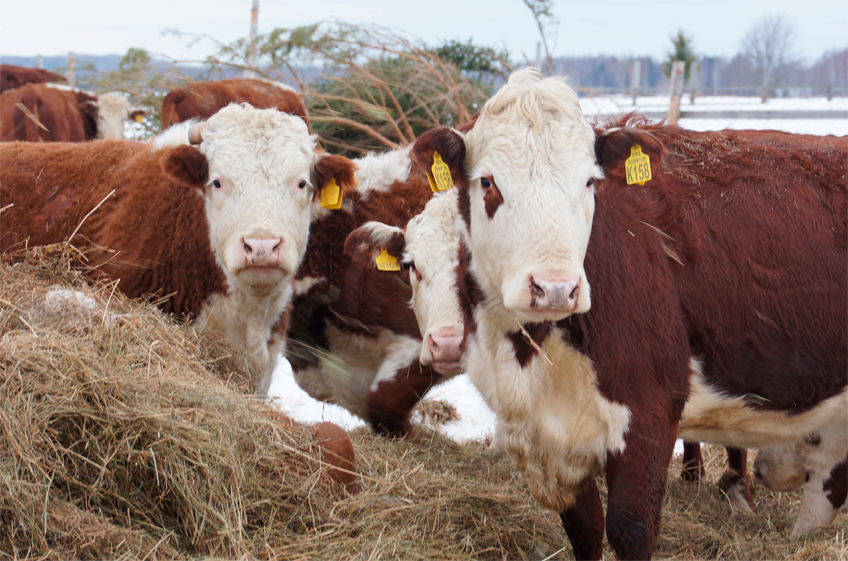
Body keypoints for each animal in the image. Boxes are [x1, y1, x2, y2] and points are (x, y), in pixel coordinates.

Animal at [402, 71, 840, 560]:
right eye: (488, 182)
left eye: (589, 183)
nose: (556, 287)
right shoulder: (550, 436)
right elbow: (586, 530)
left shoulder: (649, 414)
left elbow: (631, 528)